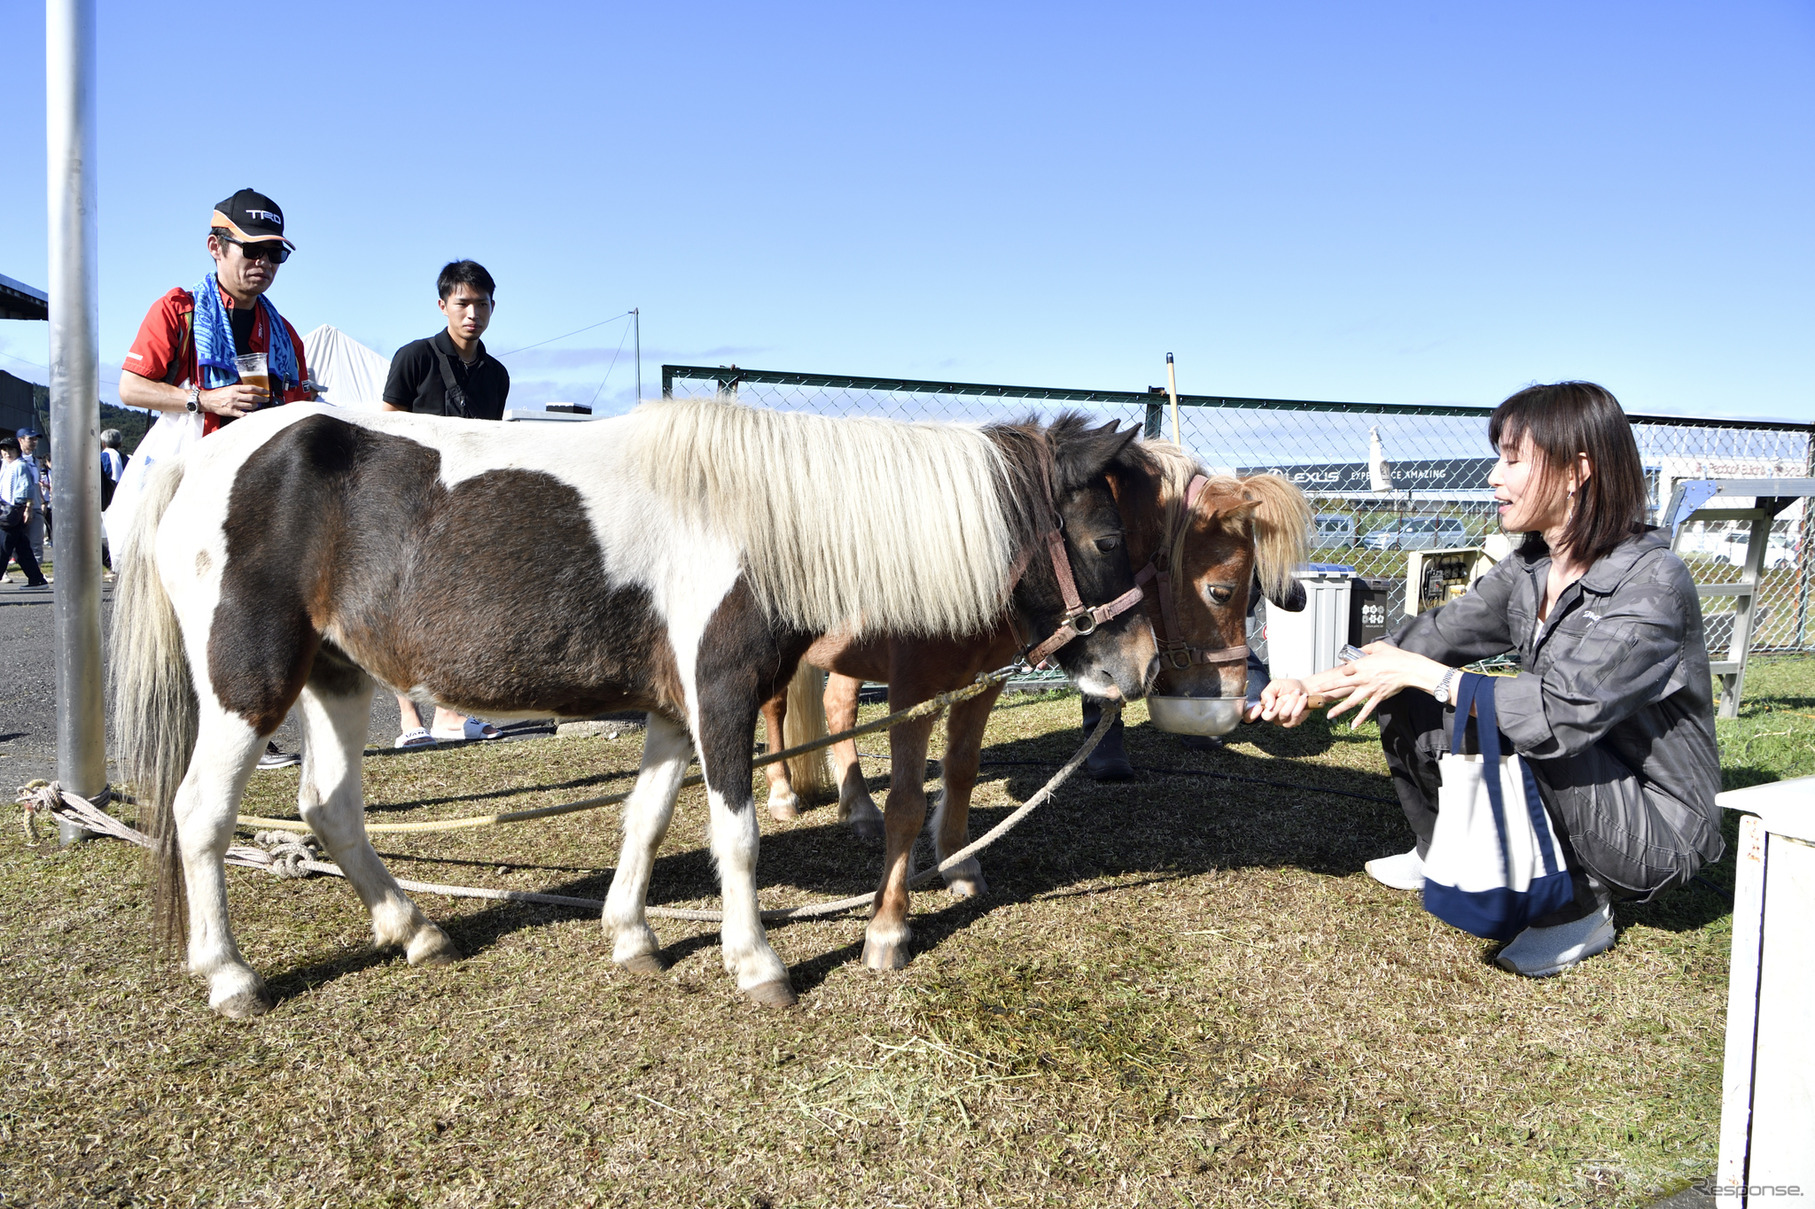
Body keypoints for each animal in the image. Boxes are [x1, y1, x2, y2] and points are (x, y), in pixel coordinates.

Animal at [113, 399, 1154, 1009]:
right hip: (249, 683)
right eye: (1106, 537)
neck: (762, 512)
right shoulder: (721, 695)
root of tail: (205, 459)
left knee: (328, 807)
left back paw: (415, 930)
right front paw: (757, 963)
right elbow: (736, 833)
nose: (1138, 669)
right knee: (201, 814)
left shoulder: (671, 707)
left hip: (335, 673)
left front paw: (632, 937)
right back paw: (232, 975)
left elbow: (645, 820)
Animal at [758, 442, 1314, 973]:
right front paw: (888, 927)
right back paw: (783, 795)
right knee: (777, 708)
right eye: (1221, 591)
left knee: (838, 707)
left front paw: (959, 863)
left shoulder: (984, 681)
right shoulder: (915, 690)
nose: (1233, 700)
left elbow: (962, 769)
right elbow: (908, 804)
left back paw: (857, 808)